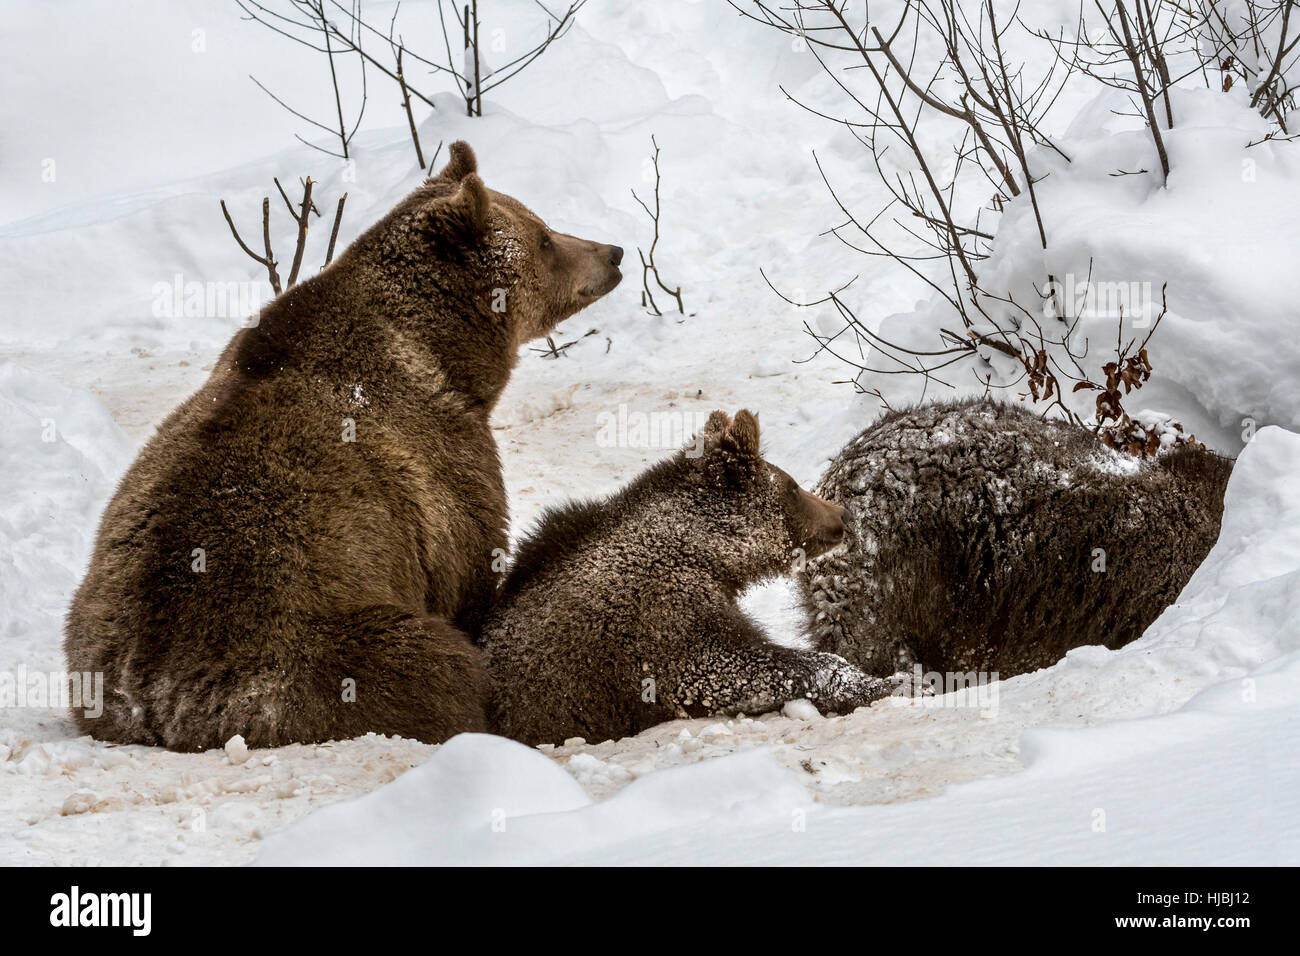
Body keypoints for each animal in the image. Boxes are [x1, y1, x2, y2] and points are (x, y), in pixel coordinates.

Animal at [483, 408, 899, 749]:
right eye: (793, 487)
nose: (842, 514)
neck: (706, 554)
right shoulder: (660, 621)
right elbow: (732, 666)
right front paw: (881, 682)